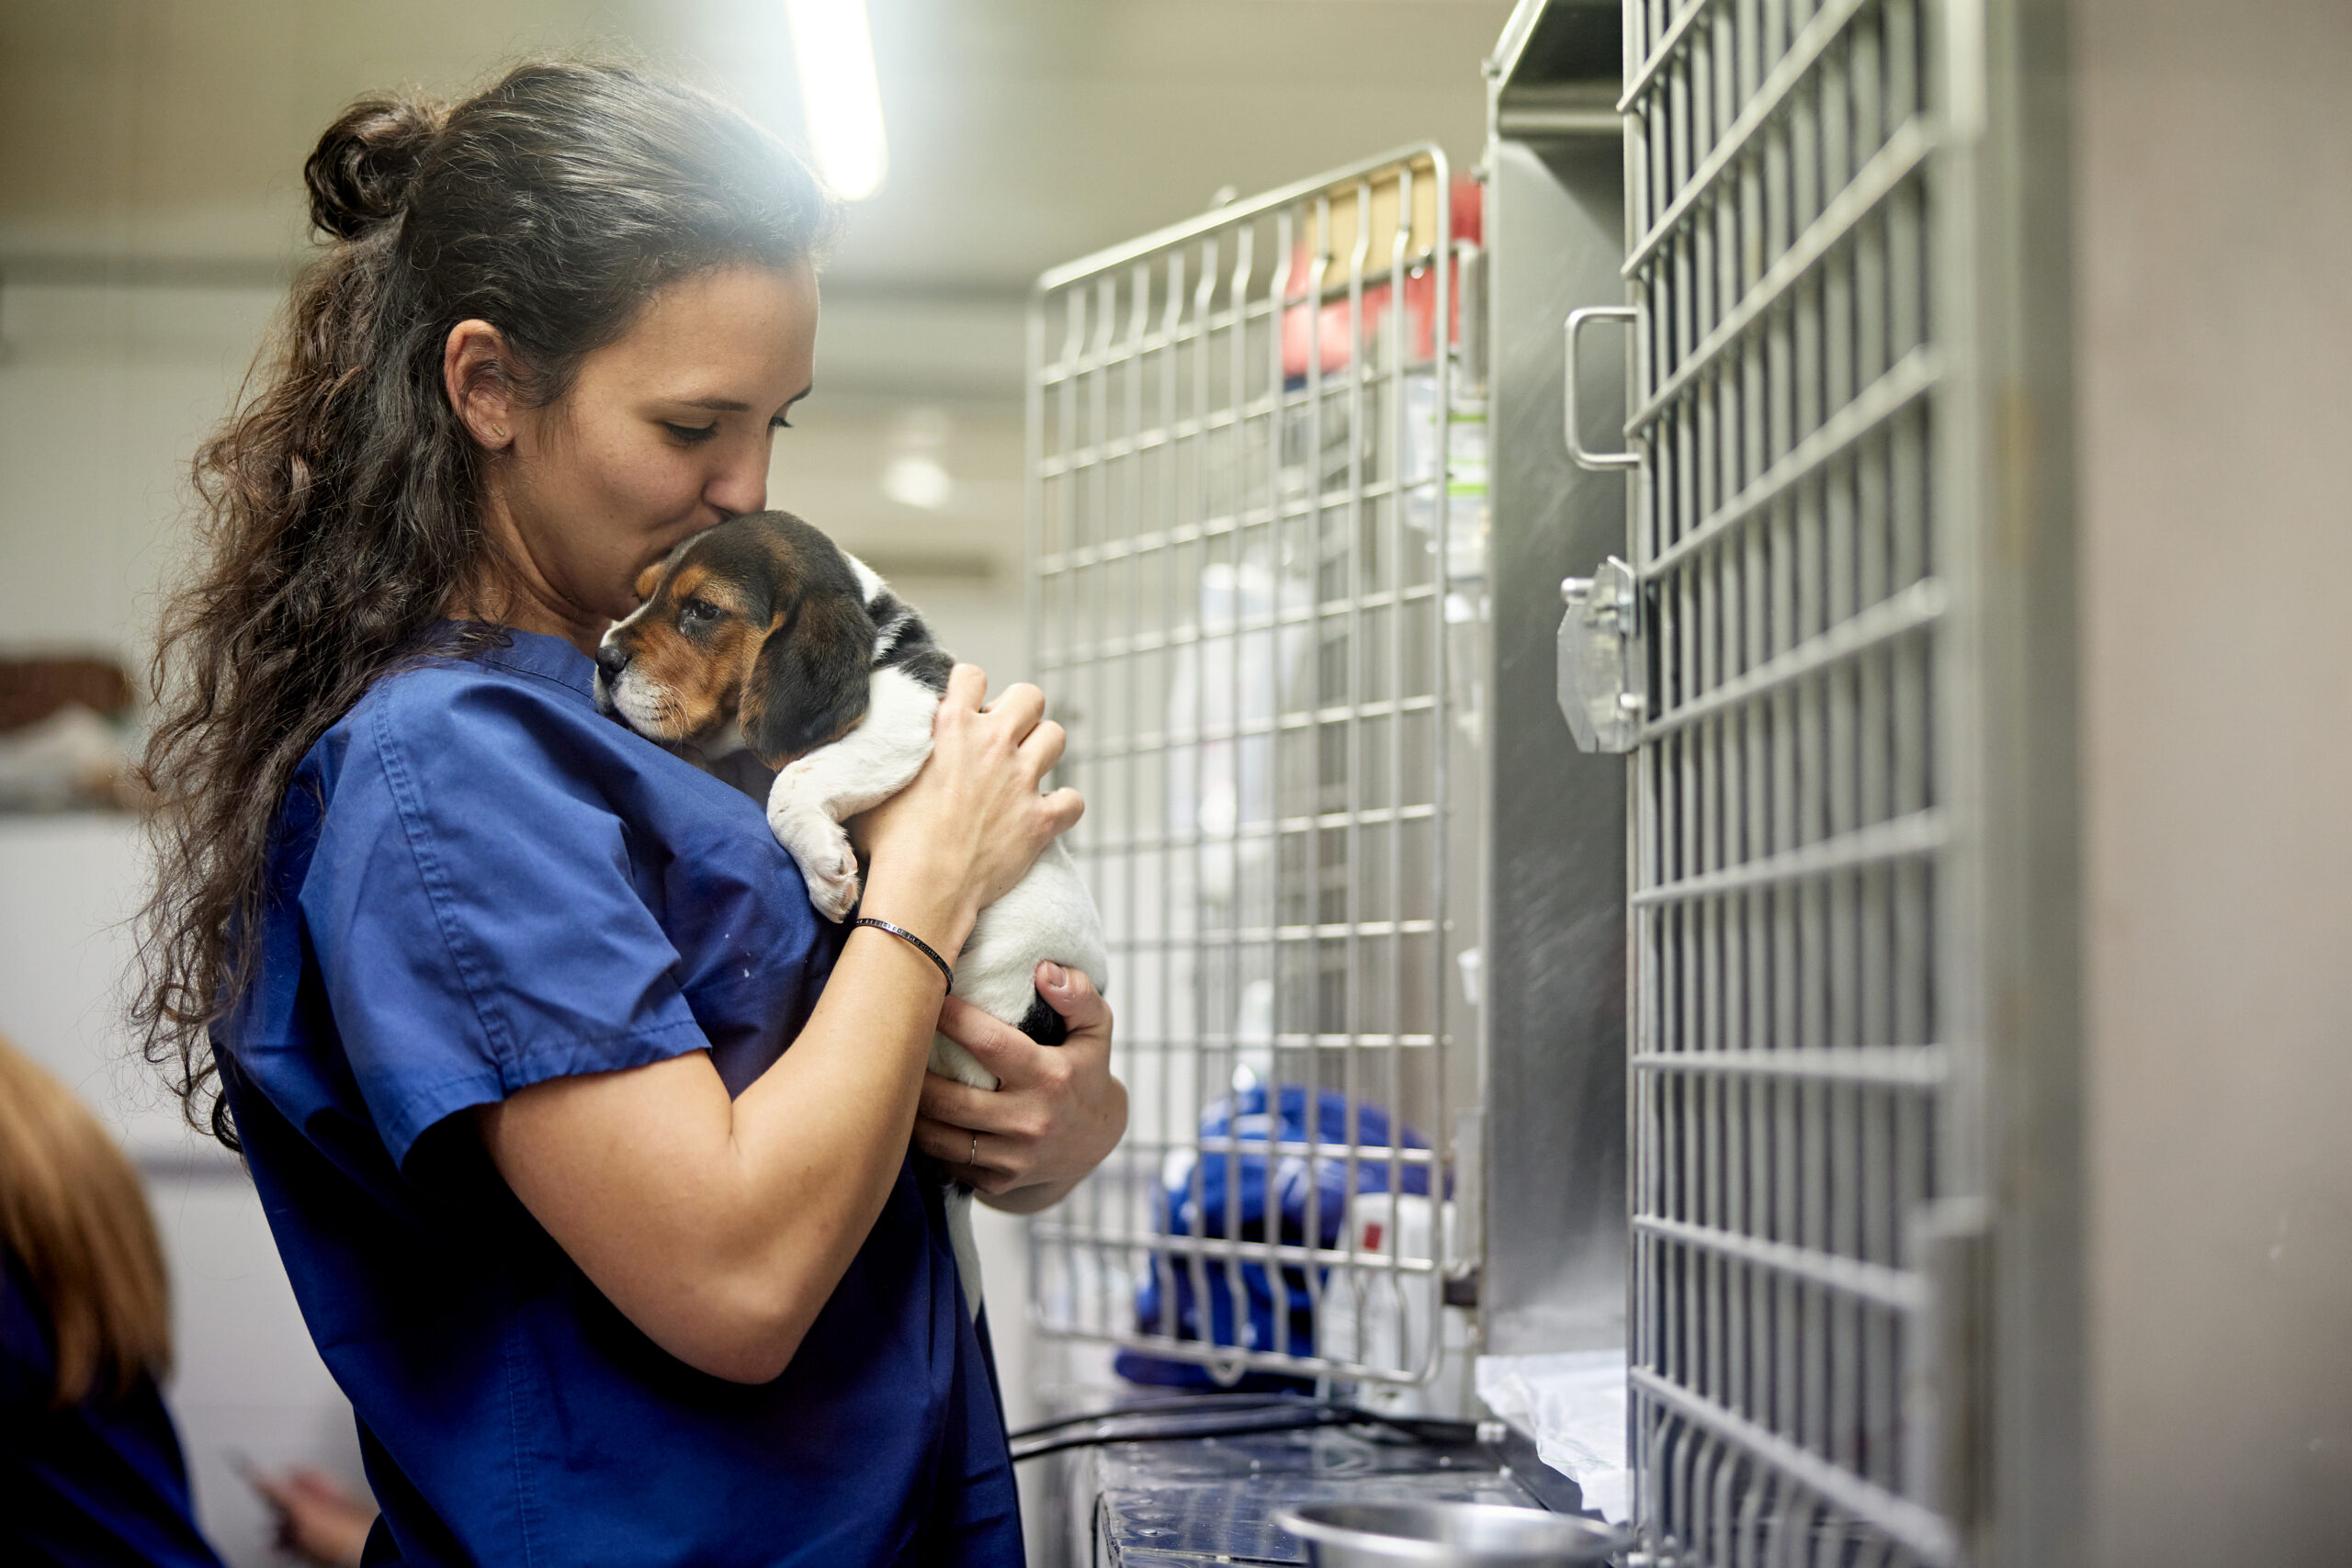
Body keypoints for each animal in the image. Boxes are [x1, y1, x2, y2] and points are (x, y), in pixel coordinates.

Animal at [592, 510, 1106, 1313]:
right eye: (641, 592)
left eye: (700, 610)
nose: (603, 657)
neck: (878, 643)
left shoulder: (906, 719)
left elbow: (791, 780)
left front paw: (826, 866)